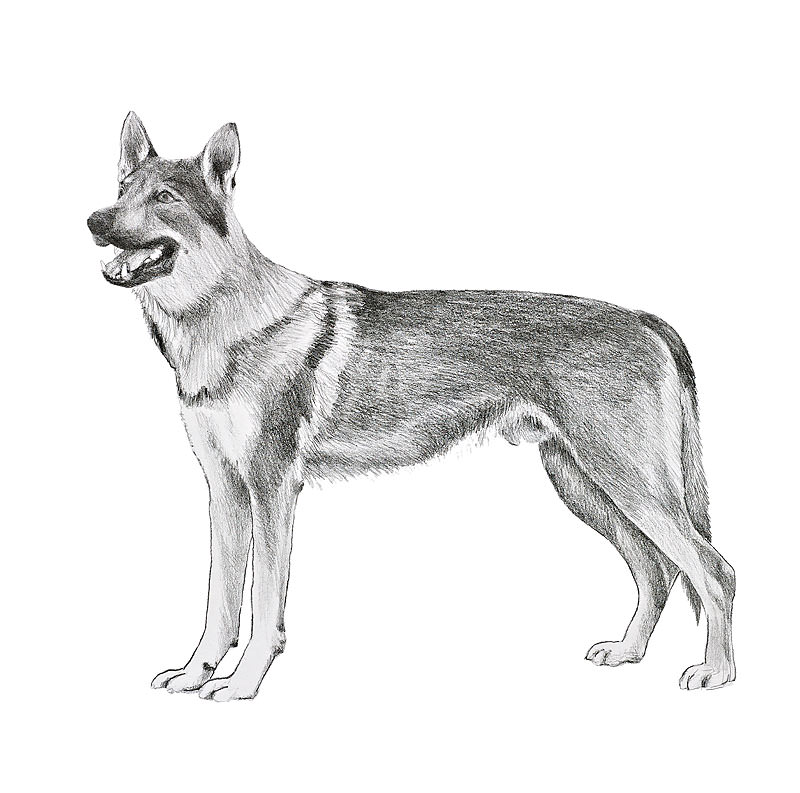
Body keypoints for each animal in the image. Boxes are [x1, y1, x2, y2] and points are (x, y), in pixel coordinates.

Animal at [88, 113, 735, 700]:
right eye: (123, 191)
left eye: (165, 198)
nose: (94, 221)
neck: (226, 319)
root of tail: (645, 319)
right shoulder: (225, 491)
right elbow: (220, 605)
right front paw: (196, 675)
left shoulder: (272, 491)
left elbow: (265, 605)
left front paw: (242, 684)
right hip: (584, 485)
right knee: (656, 570)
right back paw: (627, 653)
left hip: (626, 486)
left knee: (712, 570)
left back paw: (716, 673)